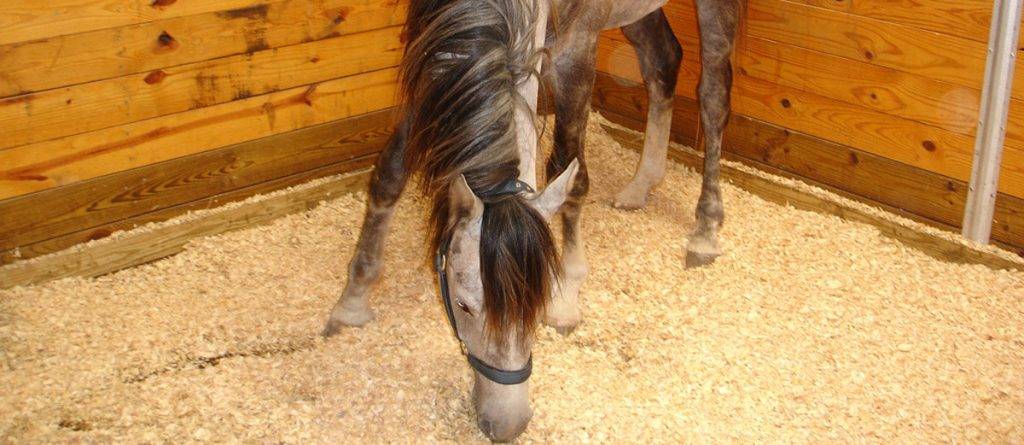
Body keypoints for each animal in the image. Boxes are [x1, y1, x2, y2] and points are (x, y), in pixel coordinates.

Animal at [319, 0, 737, 439]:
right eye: (463, 305)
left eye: (538, 305)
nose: (507, 424)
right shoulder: (442, 57)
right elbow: (390, 175)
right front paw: (352, 300)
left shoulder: (575, 53)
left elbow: (570, 175)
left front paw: (567, 294)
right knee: (663, 62)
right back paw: (641, 185)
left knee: (713, 96)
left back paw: (706, 230)